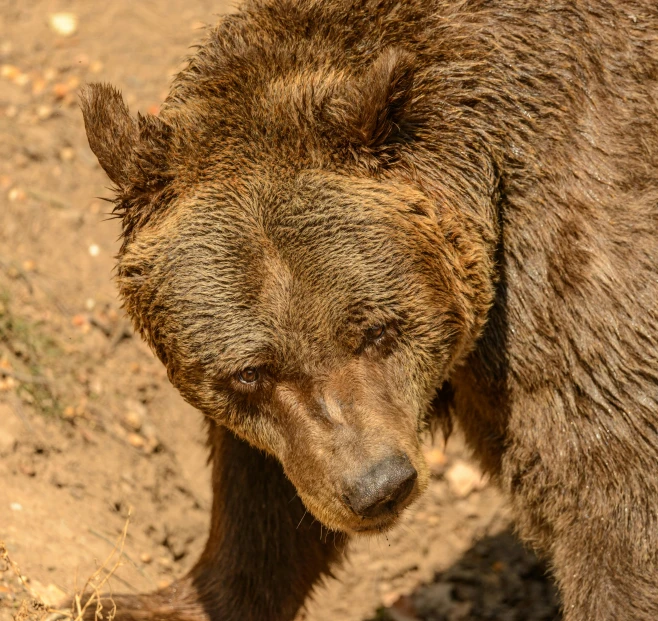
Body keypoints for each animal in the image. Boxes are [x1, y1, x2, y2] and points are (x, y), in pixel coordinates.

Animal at [79, 0, 656, 616]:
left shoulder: (572, 277)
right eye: (250, 372)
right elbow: (265, 493)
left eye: (377, 330)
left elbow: (612, 491)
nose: (379, 488)